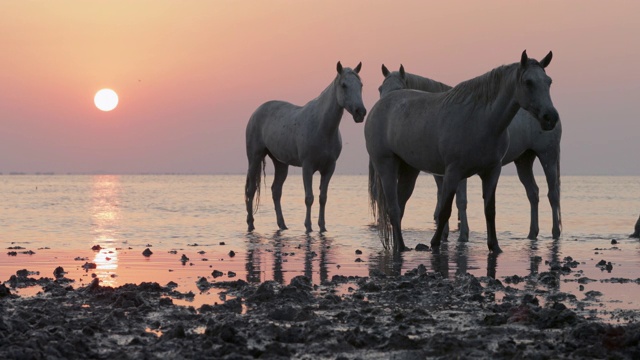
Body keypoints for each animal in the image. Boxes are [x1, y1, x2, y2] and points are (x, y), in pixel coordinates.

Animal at [245, 62, 364, 233]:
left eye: (361, 85)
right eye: (344, 85)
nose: (360, 112)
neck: (322, 127)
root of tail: (256, 112)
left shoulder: (329, 168)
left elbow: (323, 198)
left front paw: (322, 227)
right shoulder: (307, 167)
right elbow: (309, 198)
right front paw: (308, 227)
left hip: (280, 163)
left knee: (276, 191)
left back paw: (282, 225)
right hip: (254, 157)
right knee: (251, 190)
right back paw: (250, 224)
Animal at [368, 51, 556, 253]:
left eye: (549, 81)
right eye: (528, 82)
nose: (550, 117)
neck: (481, 119)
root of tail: (378, 107)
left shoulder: (491, 172)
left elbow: (489, 210)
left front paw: (494, 246)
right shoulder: (453, 172)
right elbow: (445, 210)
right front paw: (436, 242)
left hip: (410, 170)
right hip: (387, 165)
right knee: (394, 208)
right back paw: (401, 247)